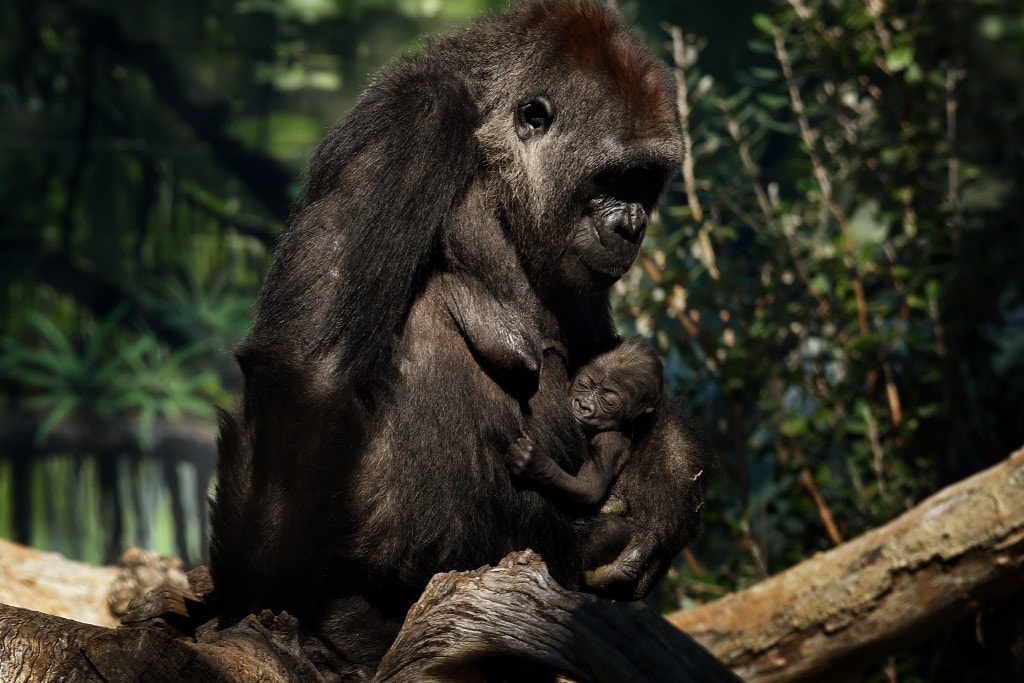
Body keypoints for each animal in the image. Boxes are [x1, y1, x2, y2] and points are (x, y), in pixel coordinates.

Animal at [209, 2, 714, 679]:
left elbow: (607, 362)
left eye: (647, 181)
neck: (492, 153)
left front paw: (669, 484)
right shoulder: (413, 119)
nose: (630, 228)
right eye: (614, 177)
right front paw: (263, 611)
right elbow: (311, 368)